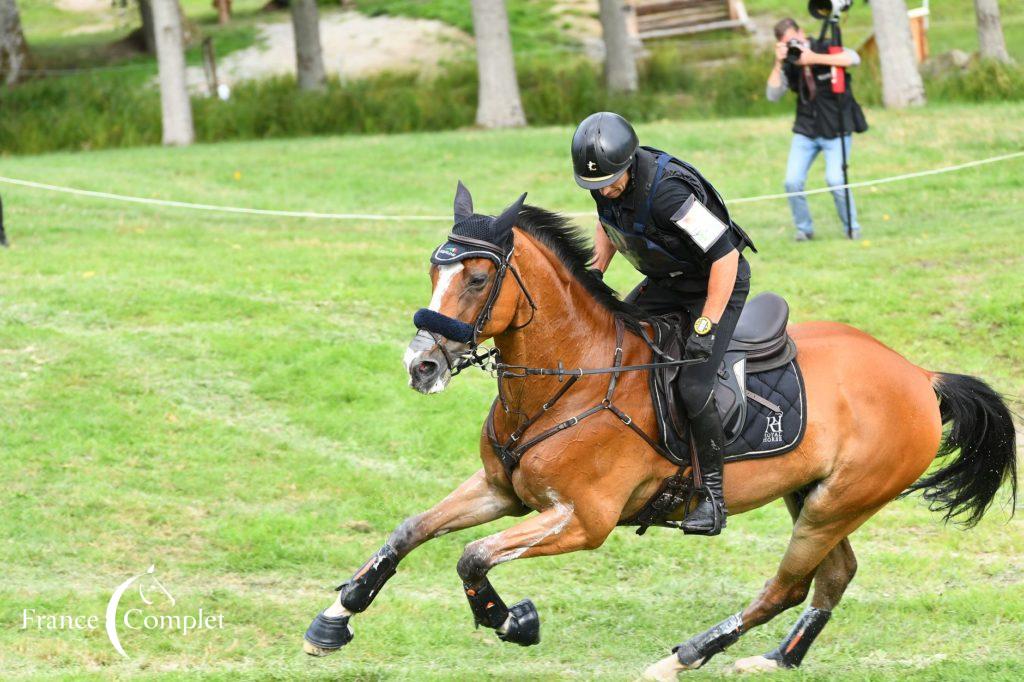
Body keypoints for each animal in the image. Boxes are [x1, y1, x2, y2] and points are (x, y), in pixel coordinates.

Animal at [301, 184, 1015, 675]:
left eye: (477, 278)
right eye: (433, 269)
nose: (420, 365)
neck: (569, 376)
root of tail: (918, 374)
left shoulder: (583, 520)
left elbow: (471, 556)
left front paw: (511, 621)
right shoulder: (500, 490)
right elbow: (409, 532)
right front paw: (335, 619)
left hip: (837, 503)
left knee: (787, 586)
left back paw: (685, 656)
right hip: (814, 496)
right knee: (835, 575)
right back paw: (777, 660)